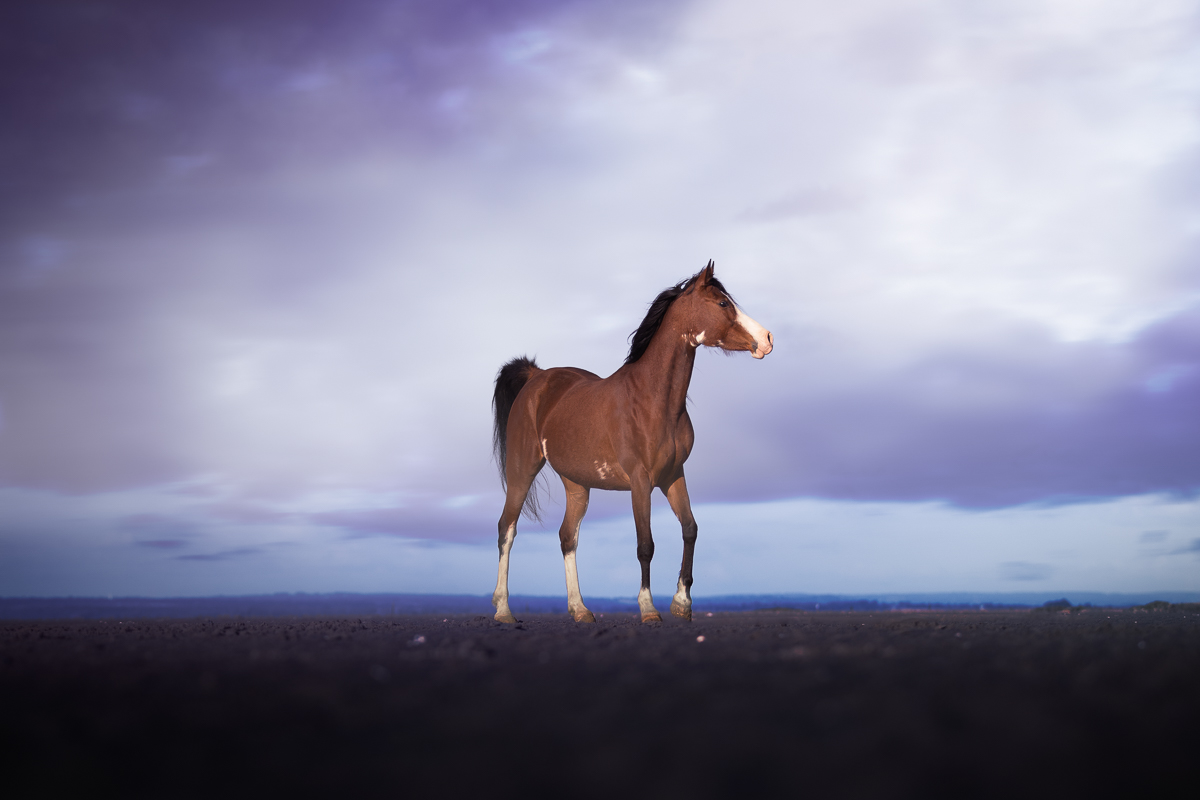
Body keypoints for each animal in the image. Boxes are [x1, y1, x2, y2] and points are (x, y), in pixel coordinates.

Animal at [490, 261, 773, 623]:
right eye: (723, 303)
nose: (767, 339)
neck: (653, 400)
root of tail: (536, 377)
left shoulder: (673, 476)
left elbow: (690, 529)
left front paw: (682, 603)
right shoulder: (641, 482)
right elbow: (645, 545)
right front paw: (649, 609)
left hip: (576, 483)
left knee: (567, 537)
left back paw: (580, 610)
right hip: (522, 469)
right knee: (506, 530)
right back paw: (503, 610)